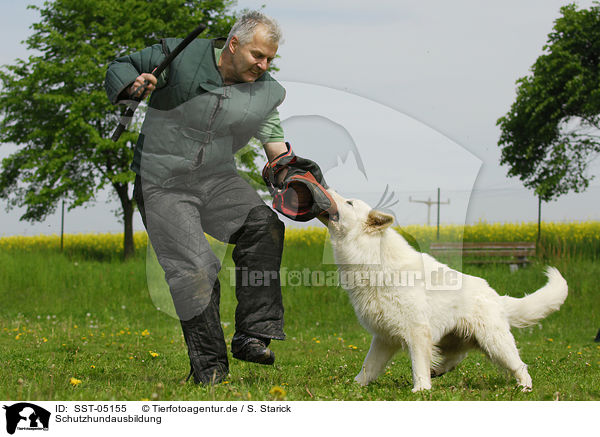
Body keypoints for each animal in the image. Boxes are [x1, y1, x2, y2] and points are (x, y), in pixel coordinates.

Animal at [318, 191, 568, 392]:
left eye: (349, 202)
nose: (327, 188)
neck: (372, 257)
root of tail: (495, 296)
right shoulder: (384, 338)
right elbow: (368, 367)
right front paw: (354, 386)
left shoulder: (417, 333)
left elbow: (417, 365)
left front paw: (421, 390)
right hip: (457, 340)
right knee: (456, 357)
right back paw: (438, 371)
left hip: (496, 345)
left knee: (520, 366)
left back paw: (525, 388)